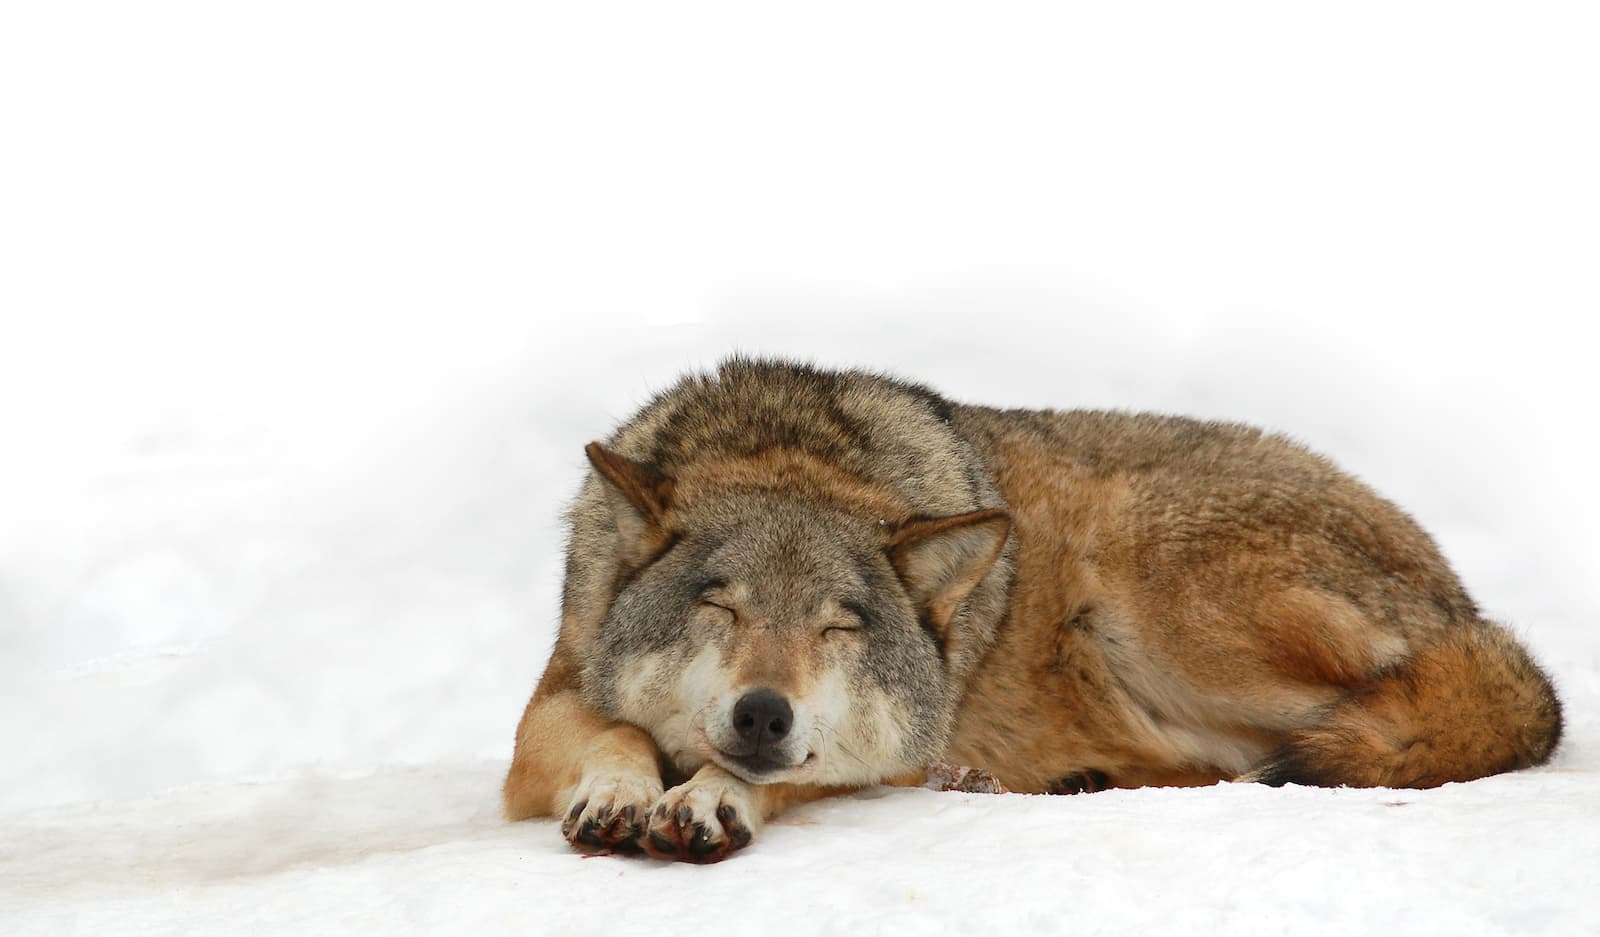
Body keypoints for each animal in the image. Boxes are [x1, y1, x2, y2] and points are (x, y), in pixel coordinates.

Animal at [503, 358, 1563, 862]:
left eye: (842, 626)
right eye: (718, 606)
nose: (765, 712)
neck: (793, 449)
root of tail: (1463, 599)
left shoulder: (886, 754)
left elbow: (779, 774)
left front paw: (709, 794)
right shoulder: (546, 708)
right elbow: (611, 734)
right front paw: (623, 790)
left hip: (1160, 603)